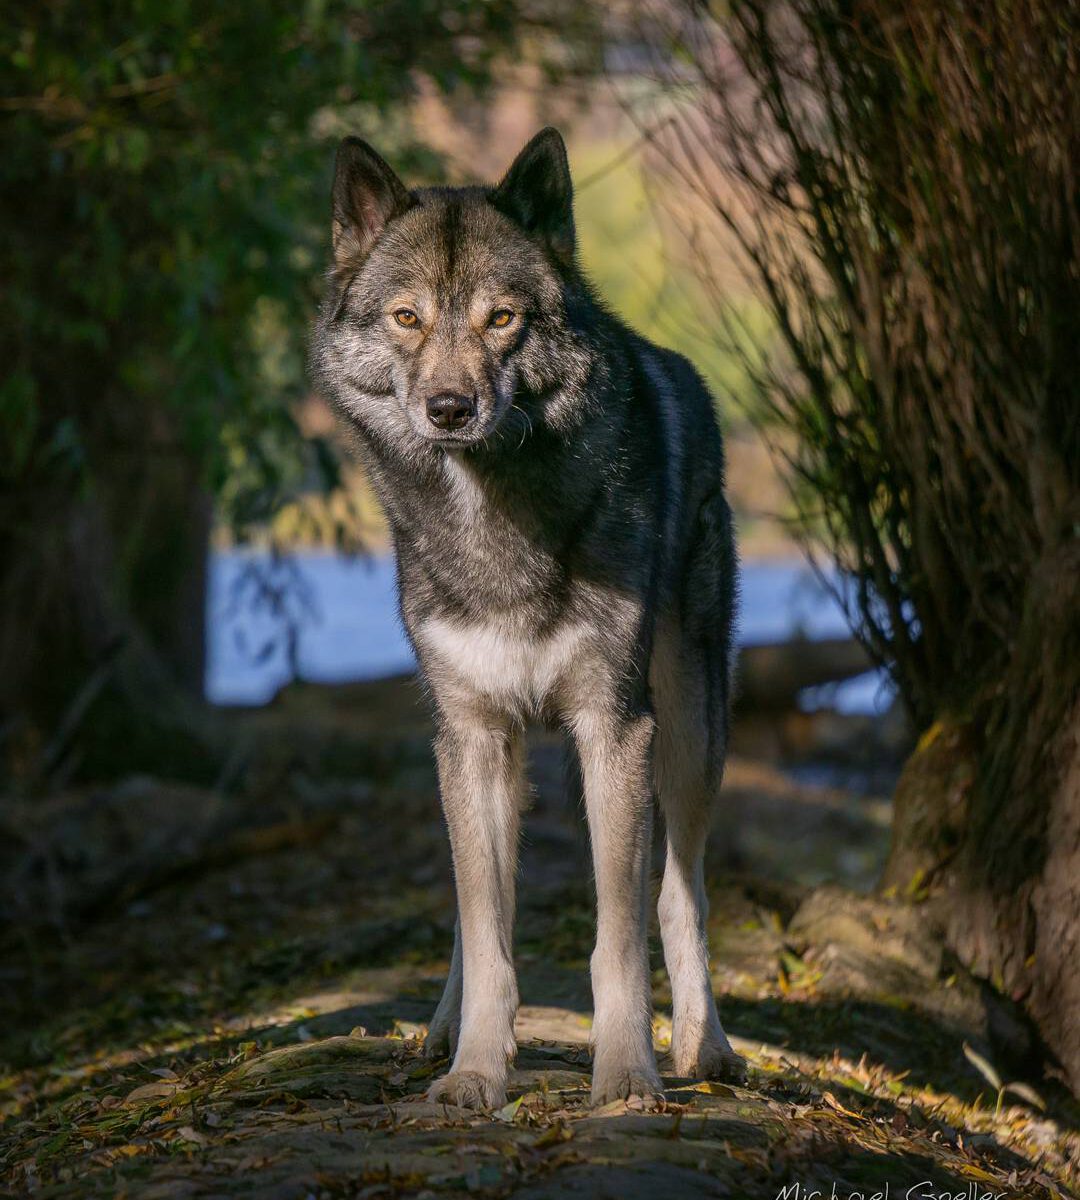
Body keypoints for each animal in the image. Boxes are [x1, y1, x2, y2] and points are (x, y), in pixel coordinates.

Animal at [307, 129, 748, 1104]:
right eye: (407, 318)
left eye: (501, 319)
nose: (448, 409)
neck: (493, 518)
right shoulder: (471, 734)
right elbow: (488, 932)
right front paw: (475, 1071)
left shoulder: (615, 729)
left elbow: (617, 939)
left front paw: (626, 1076)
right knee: (475, 917)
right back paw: (441, 1032)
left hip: (690, 731)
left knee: (683, 891)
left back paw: (705, 1049)